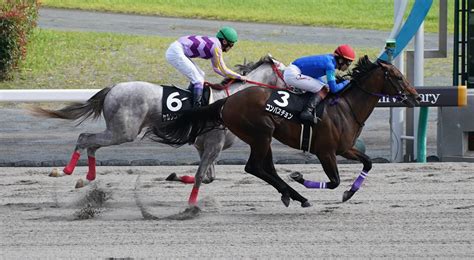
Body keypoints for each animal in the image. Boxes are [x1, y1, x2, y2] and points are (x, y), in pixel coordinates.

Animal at [33, 55, 286, 189]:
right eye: (288, 72)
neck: (231, 99)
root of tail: (112, 88)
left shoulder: (205, 145)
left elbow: (207, 177)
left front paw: (174, 176)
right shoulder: (213, 144)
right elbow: (203, 177)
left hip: (116, 130)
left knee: (92, 144)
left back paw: (88, 177)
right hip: (123, 132)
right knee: (85, 138)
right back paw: (65, 171)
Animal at [147, 56, 418, 207]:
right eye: (397, 76)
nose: (415, 96)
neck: (345, 108)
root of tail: (228, 101)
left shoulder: (346, 148)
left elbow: (368, 163)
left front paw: (349, 193)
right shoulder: (326, 151)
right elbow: (333, 182)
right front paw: (300, 177)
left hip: (262, 138)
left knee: (265, 169)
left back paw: (291, 195)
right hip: (261, 133)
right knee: (254, 167)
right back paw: (296, 194)